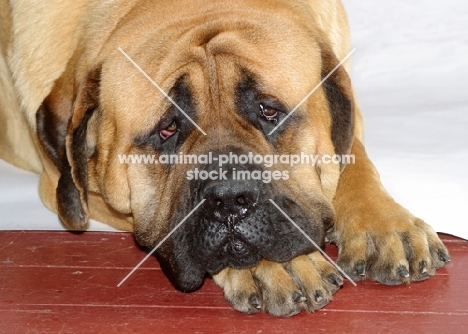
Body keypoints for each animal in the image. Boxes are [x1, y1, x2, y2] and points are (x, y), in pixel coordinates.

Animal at [0, 0, 448, 318]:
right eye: (168, 129)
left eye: (270, 111)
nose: (230, 200)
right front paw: (273, 267)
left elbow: (352, 158)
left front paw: (383, 223)